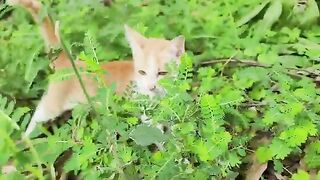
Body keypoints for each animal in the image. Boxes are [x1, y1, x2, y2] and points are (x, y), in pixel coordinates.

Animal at [8, 0, 185, 136]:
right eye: (142, 72)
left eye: (162, 73)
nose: (150, 87)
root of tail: (67, 62)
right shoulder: (144, 112)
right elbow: (159, 135)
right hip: (52, 105)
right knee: (37, 117)